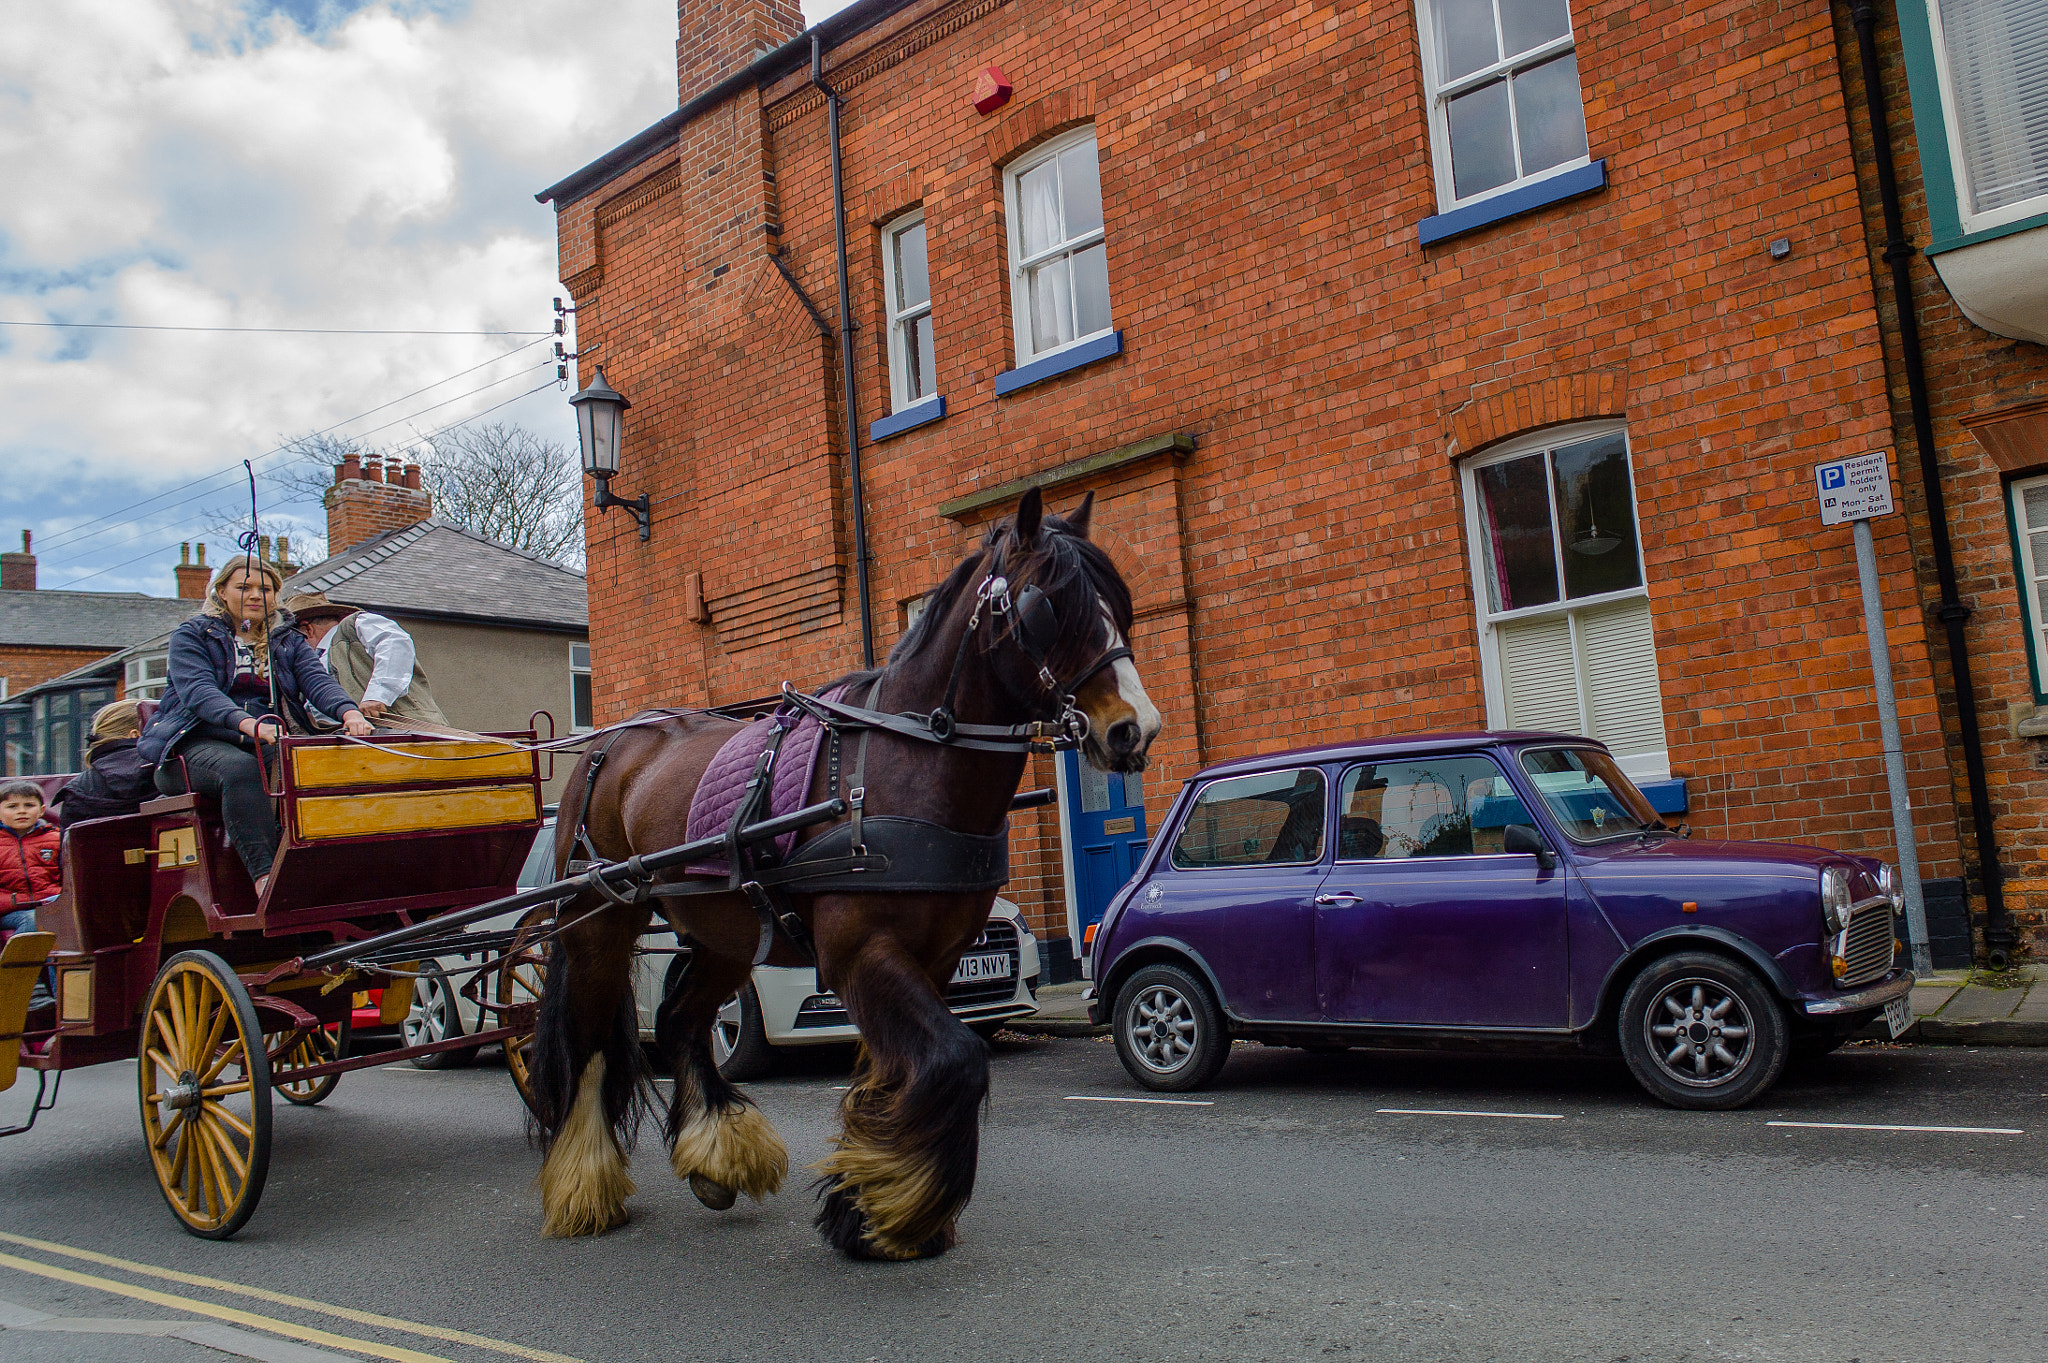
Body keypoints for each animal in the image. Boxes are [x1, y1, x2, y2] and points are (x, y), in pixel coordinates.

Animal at [520, 485, 1163, 1252]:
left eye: (1121, 603)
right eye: (1047, 608)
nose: (1135, 728)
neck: (907, 763)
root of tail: (609, 743)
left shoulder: (936, 956)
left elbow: (902, 1070)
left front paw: (873, 1195)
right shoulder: (860, 949)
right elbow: (955, 1058)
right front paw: (889, 1210)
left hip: (726, 934)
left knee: (678, 1020)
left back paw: (715, 1158)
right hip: (599, 922)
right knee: (588, 1045)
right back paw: (584, 1185)